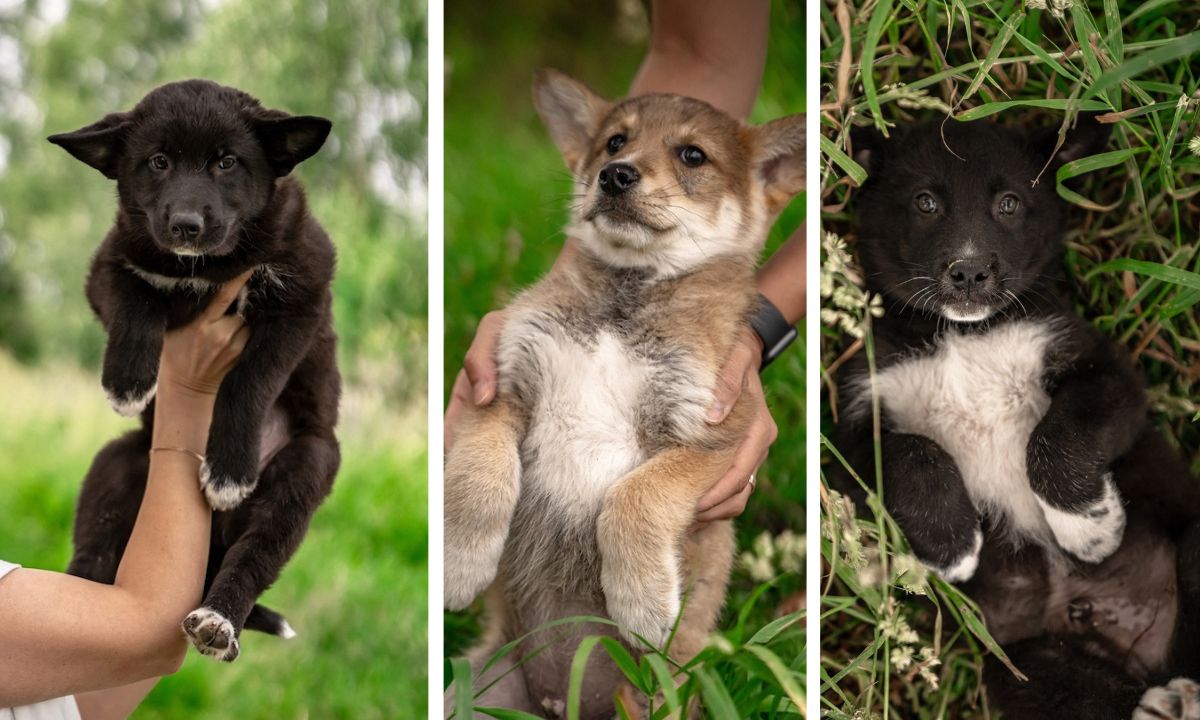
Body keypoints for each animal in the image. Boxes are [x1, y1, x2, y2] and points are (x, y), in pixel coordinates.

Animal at [49, 80, 340, 662]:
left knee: (255, 554)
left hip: (306, 466)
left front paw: (228, 470)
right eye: (158, 162)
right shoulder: (109, 265)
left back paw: (219, 619)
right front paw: (128, 380)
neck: (207, 267)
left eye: (227, 162)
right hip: (119, 462)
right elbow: (137, 296)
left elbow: (249, 380)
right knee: (96, 545)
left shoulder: (302, 300)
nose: (186, 226)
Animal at [446, 69, 801, 720]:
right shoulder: (501, 389)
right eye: (615, 142)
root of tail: (559, 704)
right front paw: (460, 564)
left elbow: (633, 500)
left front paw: (644, 606)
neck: (624, 302)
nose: (616, 175)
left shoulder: (711, 439)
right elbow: (480, 477)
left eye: (692, 155)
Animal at [840, 115, 1200, 715]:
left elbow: (1056, 437)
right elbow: (911, 451)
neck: (963, 334)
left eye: (1008, 203)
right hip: (1029, 668)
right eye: (924, 202)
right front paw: (953, 546)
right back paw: (1165, 703)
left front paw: (1089, 529)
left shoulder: (1103, 370)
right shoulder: (851, 425)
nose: (968, 273)